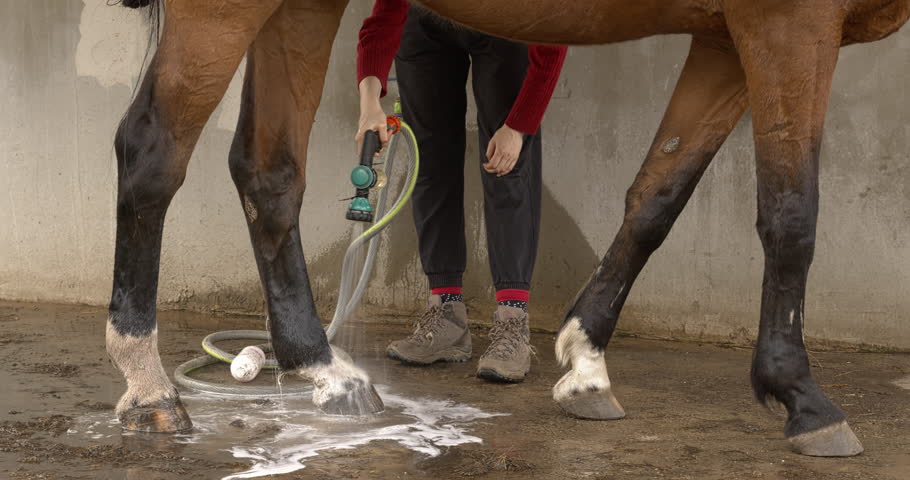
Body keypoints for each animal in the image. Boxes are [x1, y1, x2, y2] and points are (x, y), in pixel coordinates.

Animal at [111, 0, 908, 458]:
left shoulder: (723, 38)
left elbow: (657, 196)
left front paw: (586, 361)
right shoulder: (789, 24)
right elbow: (792, 213)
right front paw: (800, 395)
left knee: (268, 169)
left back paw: (325, 370)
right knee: (152, 153)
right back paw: (150, 387)